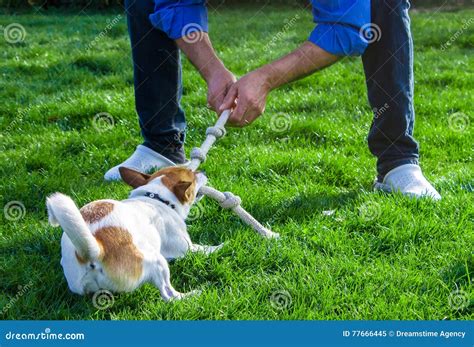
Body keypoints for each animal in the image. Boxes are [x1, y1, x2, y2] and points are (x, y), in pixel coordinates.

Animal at [46, 167, 220, 302]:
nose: (203, 171)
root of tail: (92, 253)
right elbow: (206, 249)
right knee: (169, 295)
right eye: (193, 174)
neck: (157, 197)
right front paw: (222, 246)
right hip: (157, 262)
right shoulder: (186, 248)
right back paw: (193, 294)